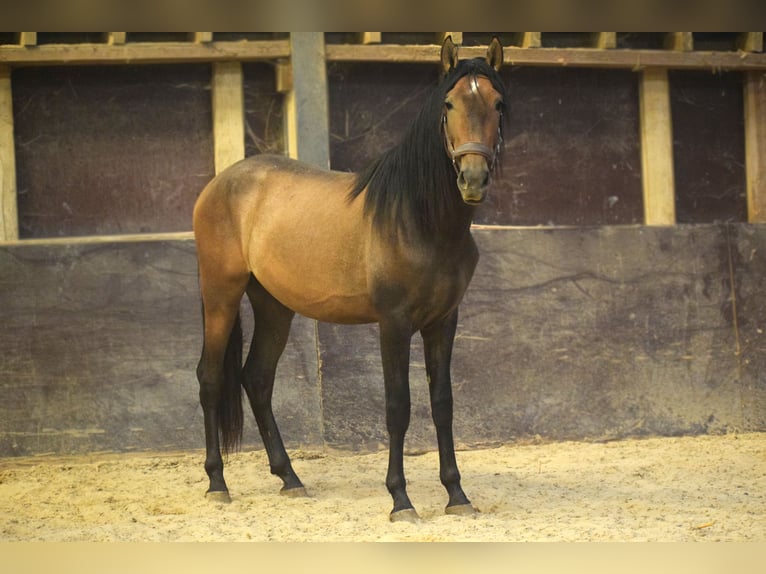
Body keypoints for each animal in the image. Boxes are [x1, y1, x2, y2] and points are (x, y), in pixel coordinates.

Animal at [192, 33, 508, 524]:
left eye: (498, 104)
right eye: (449, 104)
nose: (472, 178)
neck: (418, 219)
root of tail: (221, 183)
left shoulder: (443, 322)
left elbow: (442, 404)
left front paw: (457, 495)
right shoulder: (393, 324)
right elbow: (398, 407)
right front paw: (400, 500)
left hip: (274, 306)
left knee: (257, 379)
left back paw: (290, 479)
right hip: (220, 295)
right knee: (210, 378)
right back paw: (217, 484)